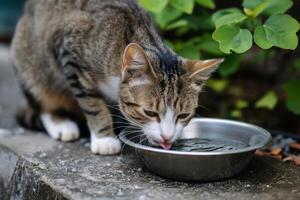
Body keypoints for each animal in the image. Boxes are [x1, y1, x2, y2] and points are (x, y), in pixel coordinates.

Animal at [11, 0, 223, 155]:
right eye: (150, 113)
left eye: (184, 115)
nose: (167, 138)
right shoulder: (69, 54)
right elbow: (93, 104)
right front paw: (104, 139)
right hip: (30, 64)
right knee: (43, 99)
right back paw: (60, 124)